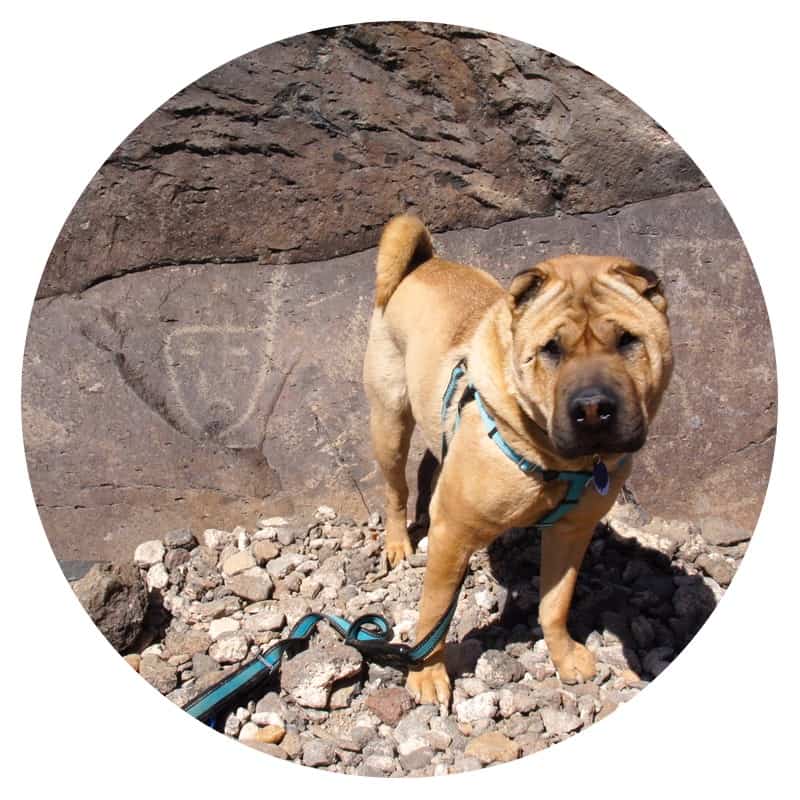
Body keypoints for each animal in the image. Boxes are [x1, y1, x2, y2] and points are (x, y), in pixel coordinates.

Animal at [364, 214, 676, 708]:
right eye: (551, 349)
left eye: (628, 340)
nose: (593, 409)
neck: (555, 458)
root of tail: (423, 264)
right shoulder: (452, 532)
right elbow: (435, 612)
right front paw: (427, 674)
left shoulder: (572, 532)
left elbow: (555, 603)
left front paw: (564, 655)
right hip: (390, 421)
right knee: (396, 488)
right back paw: (398, 543)